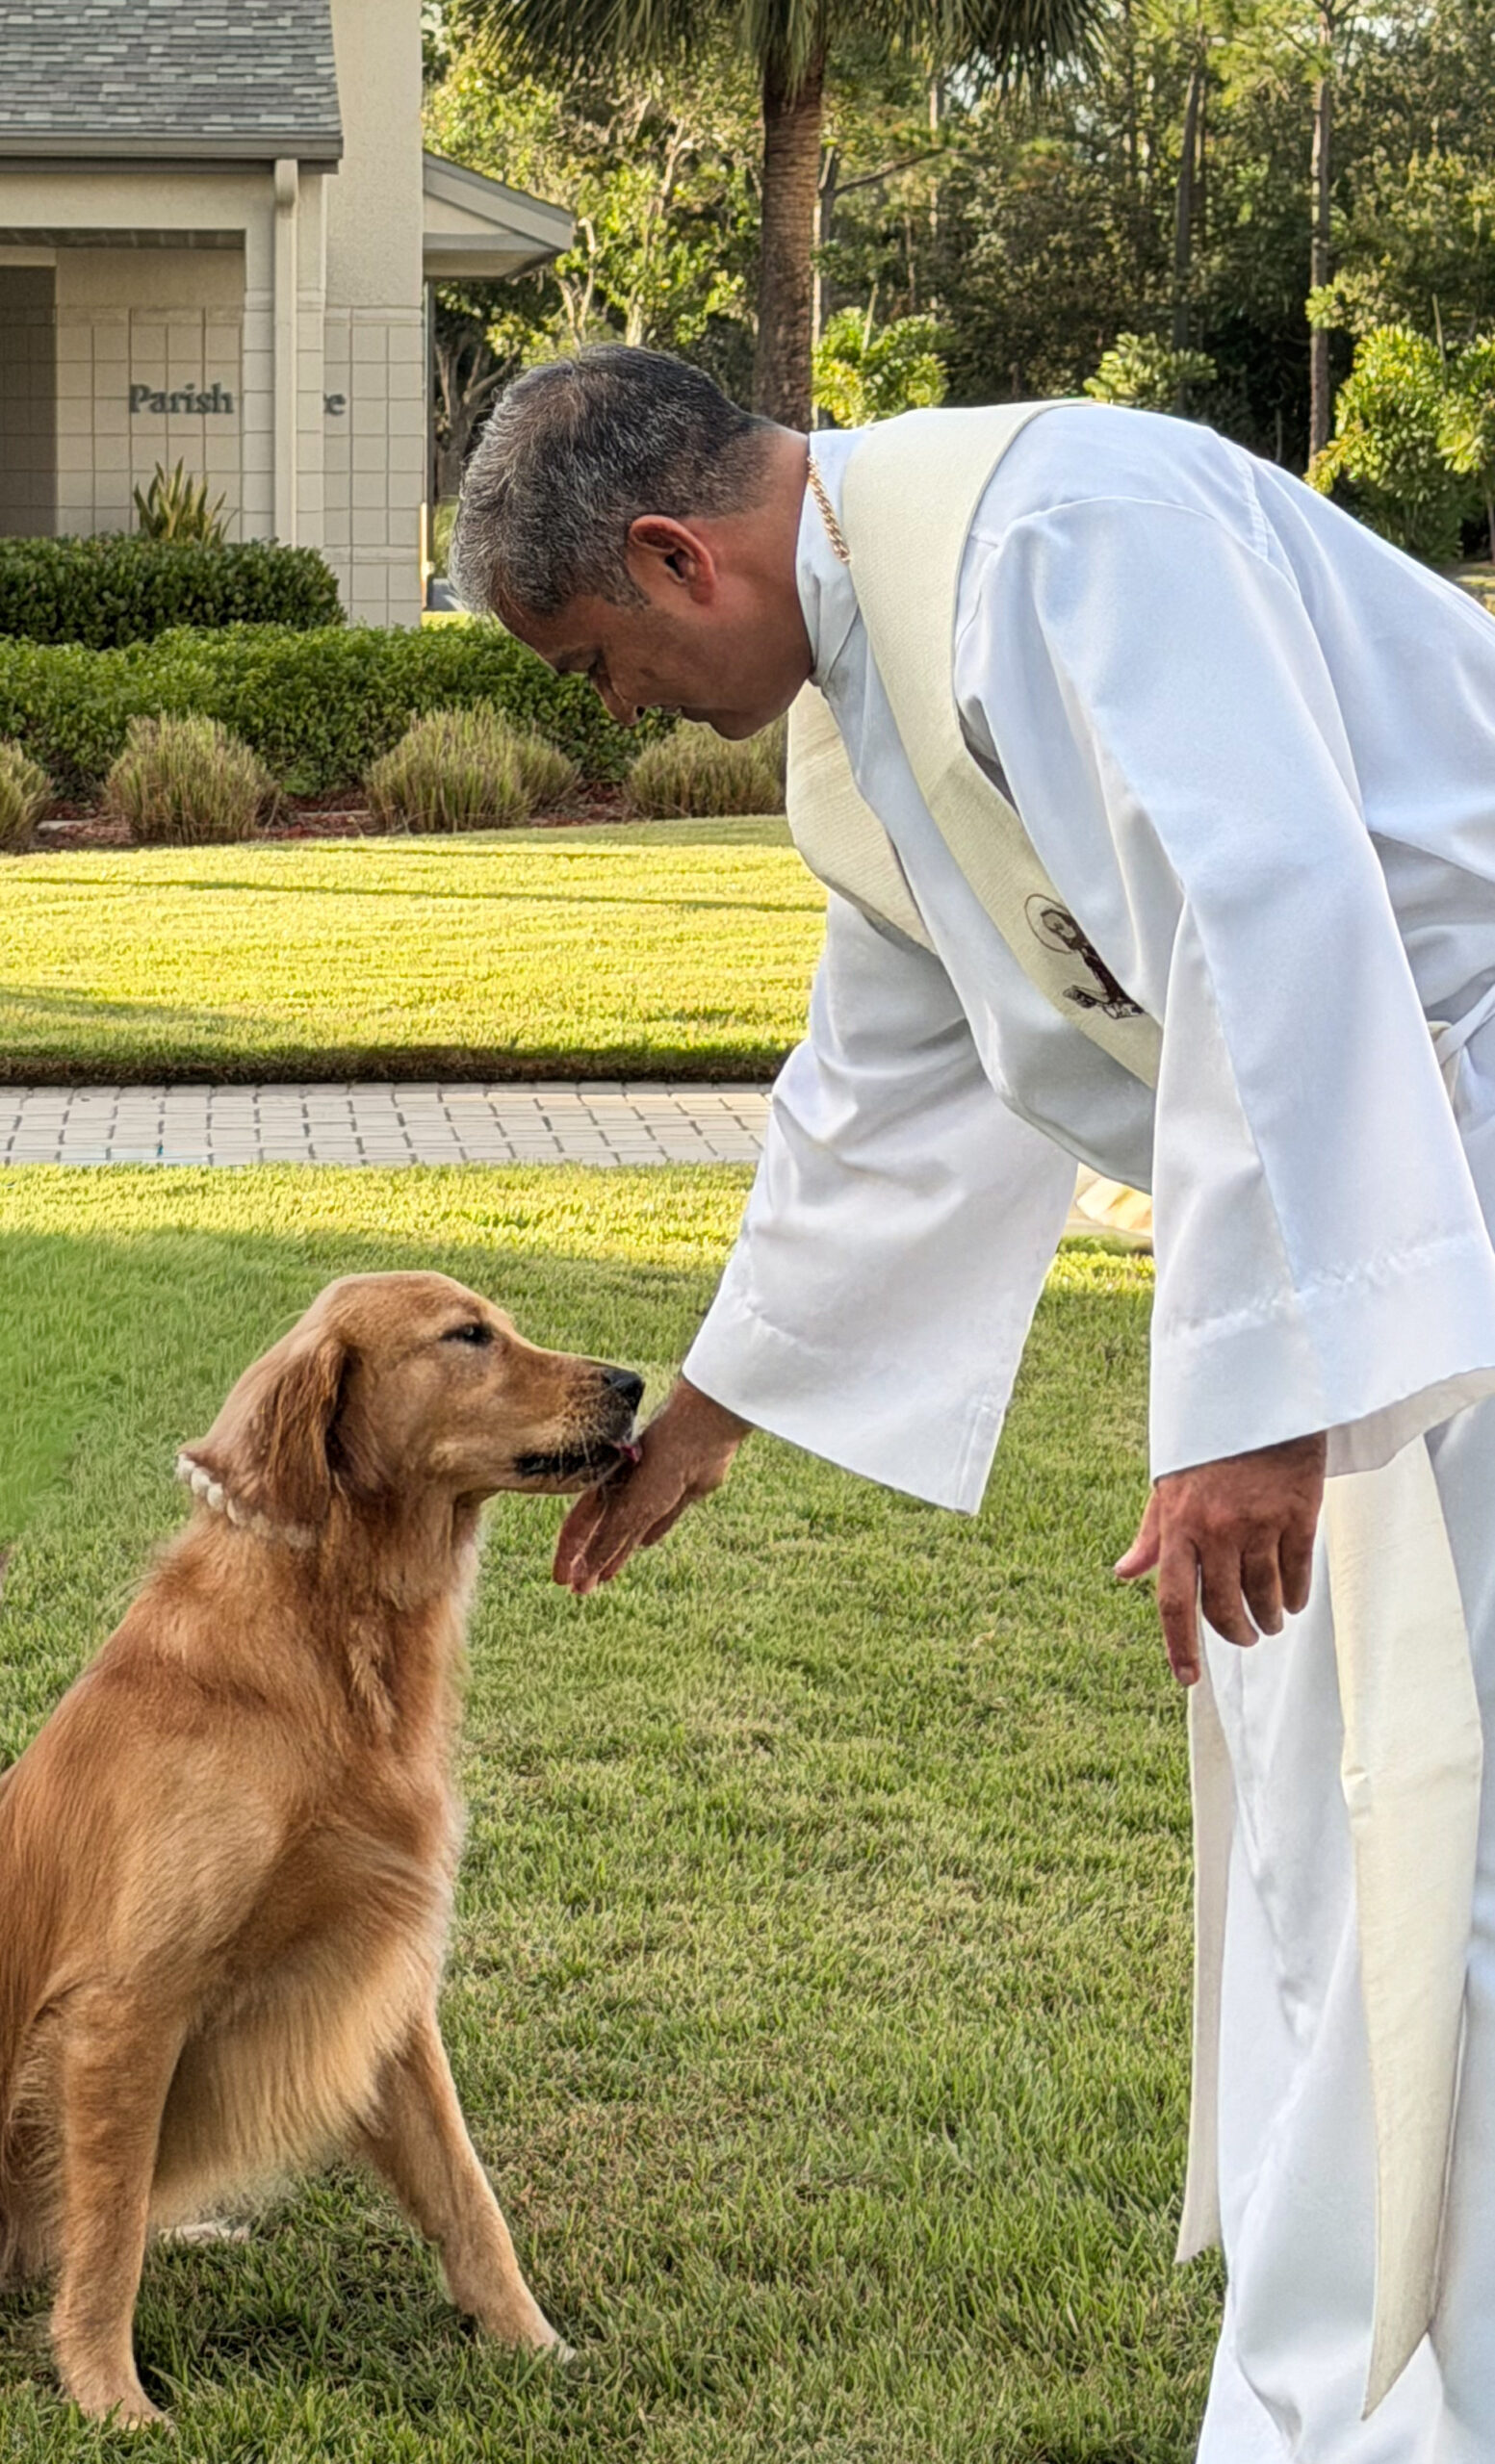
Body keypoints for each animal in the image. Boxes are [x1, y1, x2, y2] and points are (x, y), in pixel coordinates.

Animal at [0, 1271, 644, 2426]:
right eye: (467, 1336)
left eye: (501, 1322)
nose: (633, 1385)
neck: (327, 1644)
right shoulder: (124, 2008)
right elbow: (106, 2235)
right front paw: (113, 2401)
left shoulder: (382, 1984)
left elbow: (467, 2195)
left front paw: (534, 2346)